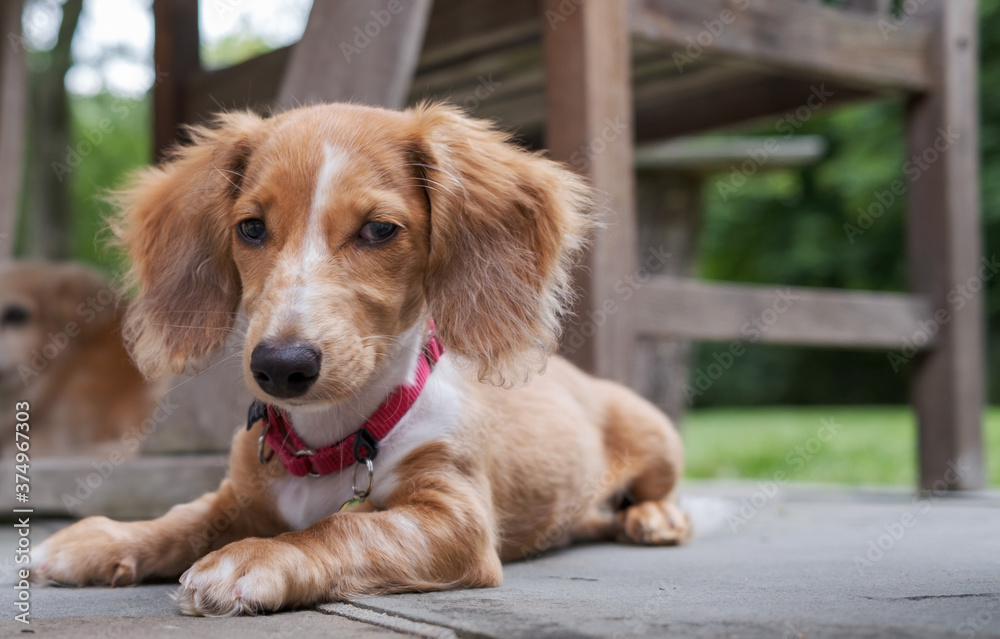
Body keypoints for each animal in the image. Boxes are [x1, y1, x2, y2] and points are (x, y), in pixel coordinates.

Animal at [31, 104, 688, 616]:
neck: (331, 440)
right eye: (250, 227)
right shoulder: (235, 495)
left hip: (656, 433)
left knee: (658, 490)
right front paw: (105, 540)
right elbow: (182, 518)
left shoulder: (454, 517)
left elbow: (348, 525)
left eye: (378, 230)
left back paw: (657, 518)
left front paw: (260, 555)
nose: (280, 366)